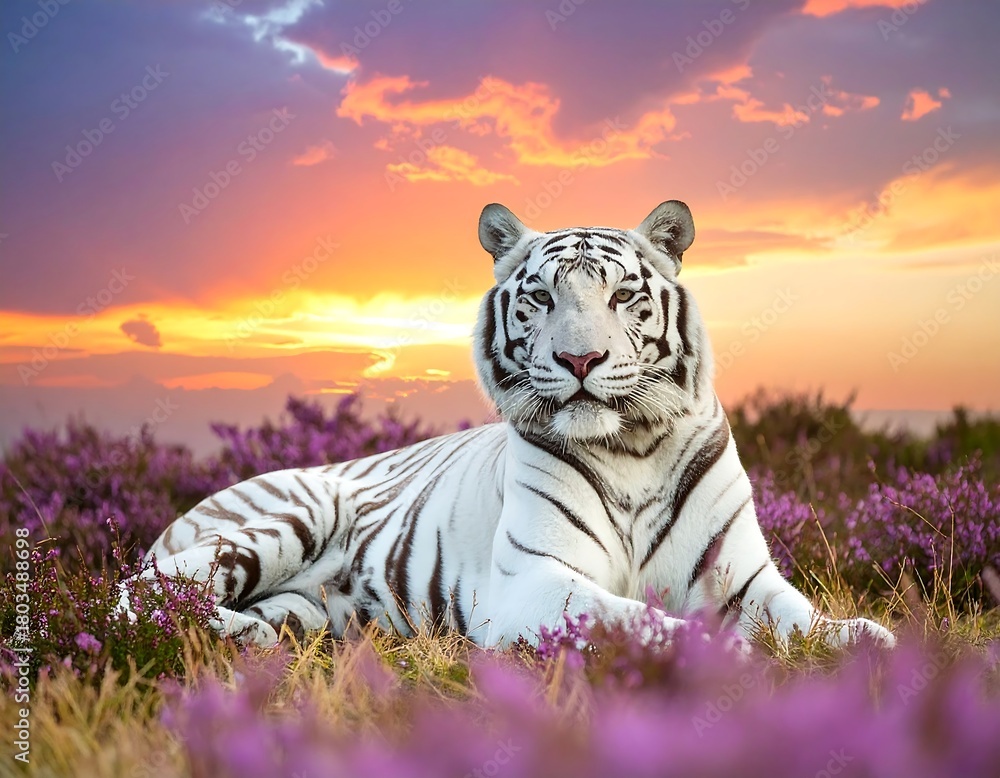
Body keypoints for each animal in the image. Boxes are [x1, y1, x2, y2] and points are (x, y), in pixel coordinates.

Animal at [126, 200, 895, 651]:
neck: (634, 445)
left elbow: (809, 622)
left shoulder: (739, 578)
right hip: (284, 520)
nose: (580, 358)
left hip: (309, 608)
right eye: (541, 297)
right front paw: (725, 652)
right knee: (138, 596)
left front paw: (868, 645)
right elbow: (636, 618)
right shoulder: (537, 581)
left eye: (623, 295)